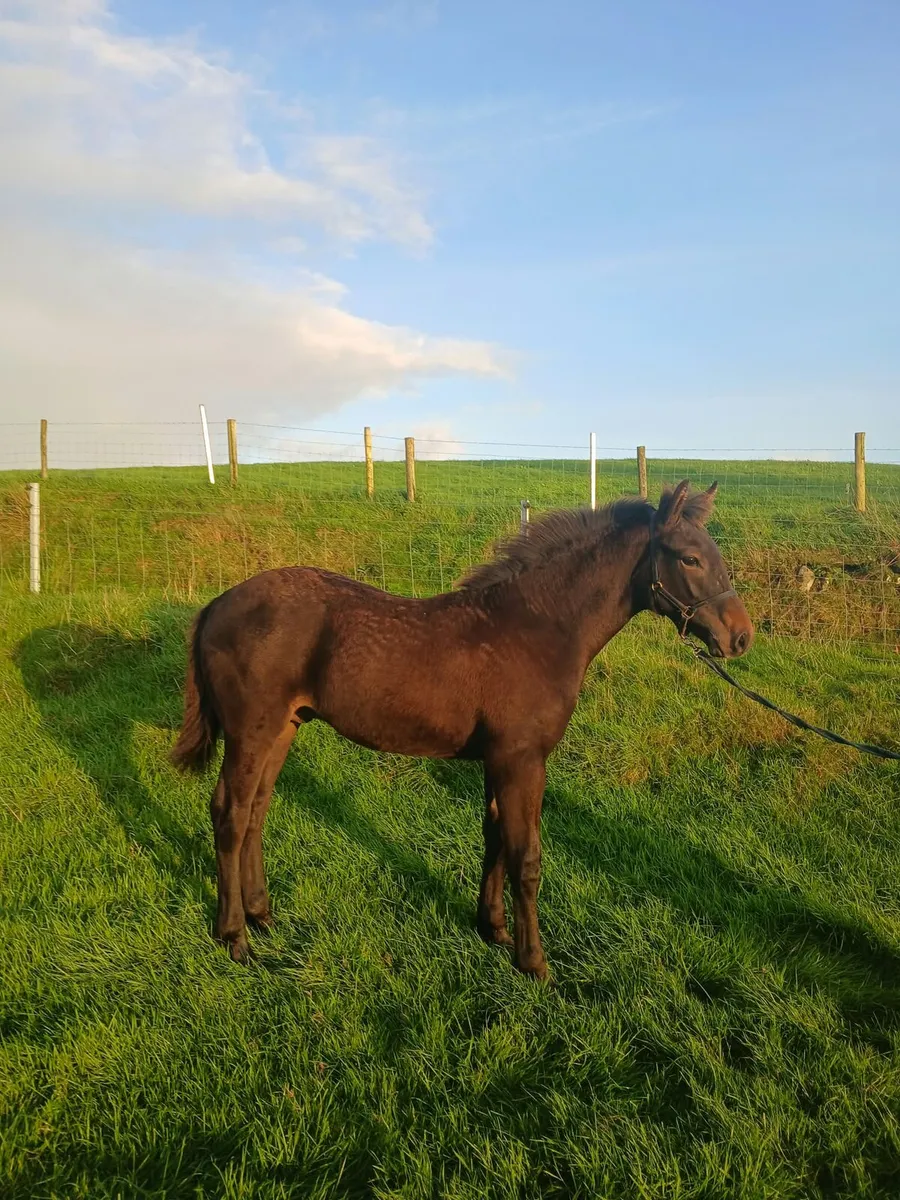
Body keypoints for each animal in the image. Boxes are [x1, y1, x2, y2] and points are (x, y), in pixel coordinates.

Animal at [171, 480, 753, 981]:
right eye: (690, 558)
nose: (741, 637)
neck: (535, 628)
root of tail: (217, 604)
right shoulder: (522, 759)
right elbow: (526, 856)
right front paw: (534, 963)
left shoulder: (499, 759)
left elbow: (495, 839)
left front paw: (493, 929)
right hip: (251, 731)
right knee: (230, 813)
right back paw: (234, 937)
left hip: (284, 728)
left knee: (256, 811)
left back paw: (262, 915)